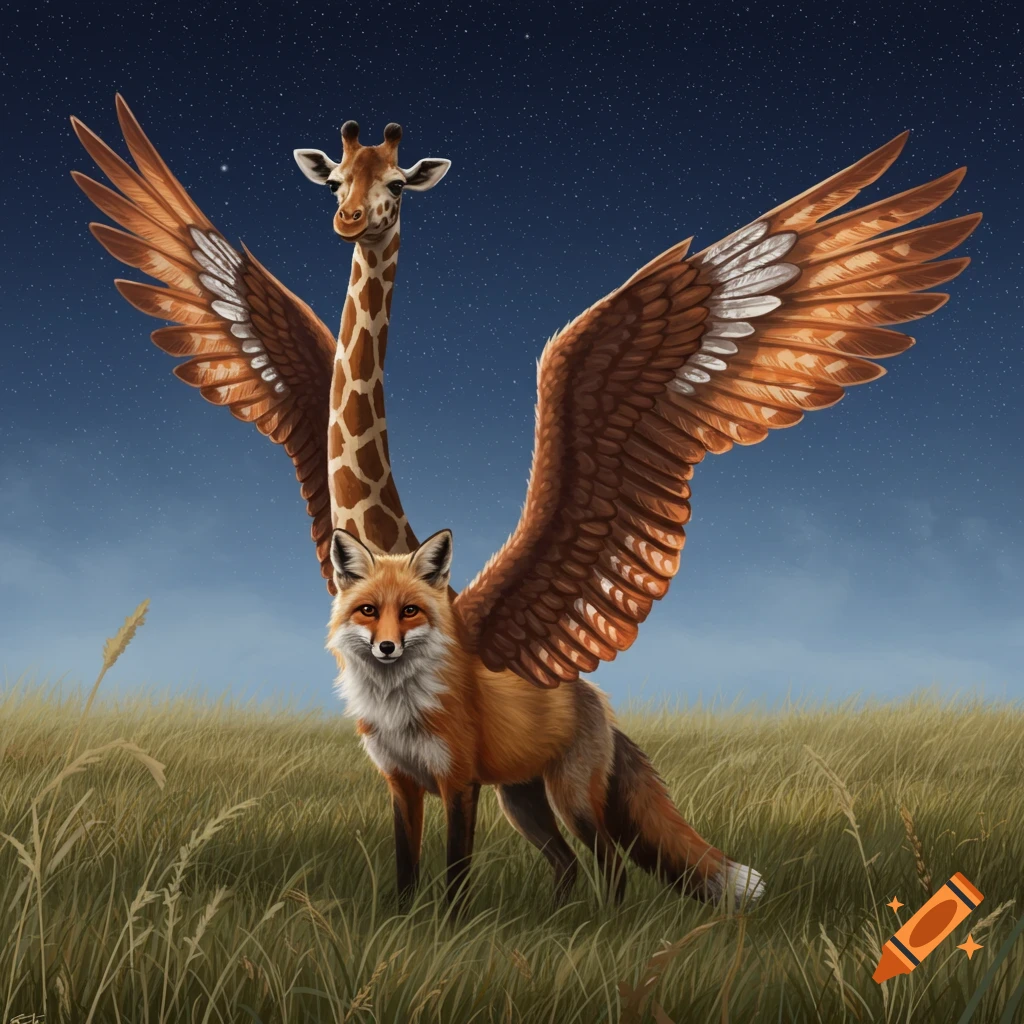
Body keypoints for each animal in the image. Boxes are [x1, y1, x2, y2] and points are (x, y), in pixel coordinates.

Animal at [326, 526, 765, 911]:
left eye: (410, 611)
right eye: (368, 611)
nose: (386, 647)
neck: (400, 706)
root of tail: (597, 701)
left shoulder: (459, 784)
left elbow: (456, 869)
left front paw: (451, 923)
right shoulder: (401, 783)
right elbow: (406, 865)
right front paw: (402, 918)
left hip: (573, 803)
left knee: (614, 863)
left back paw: (607, 922)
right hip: (523, 806)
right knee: (567, 863)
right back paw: (554, 918)